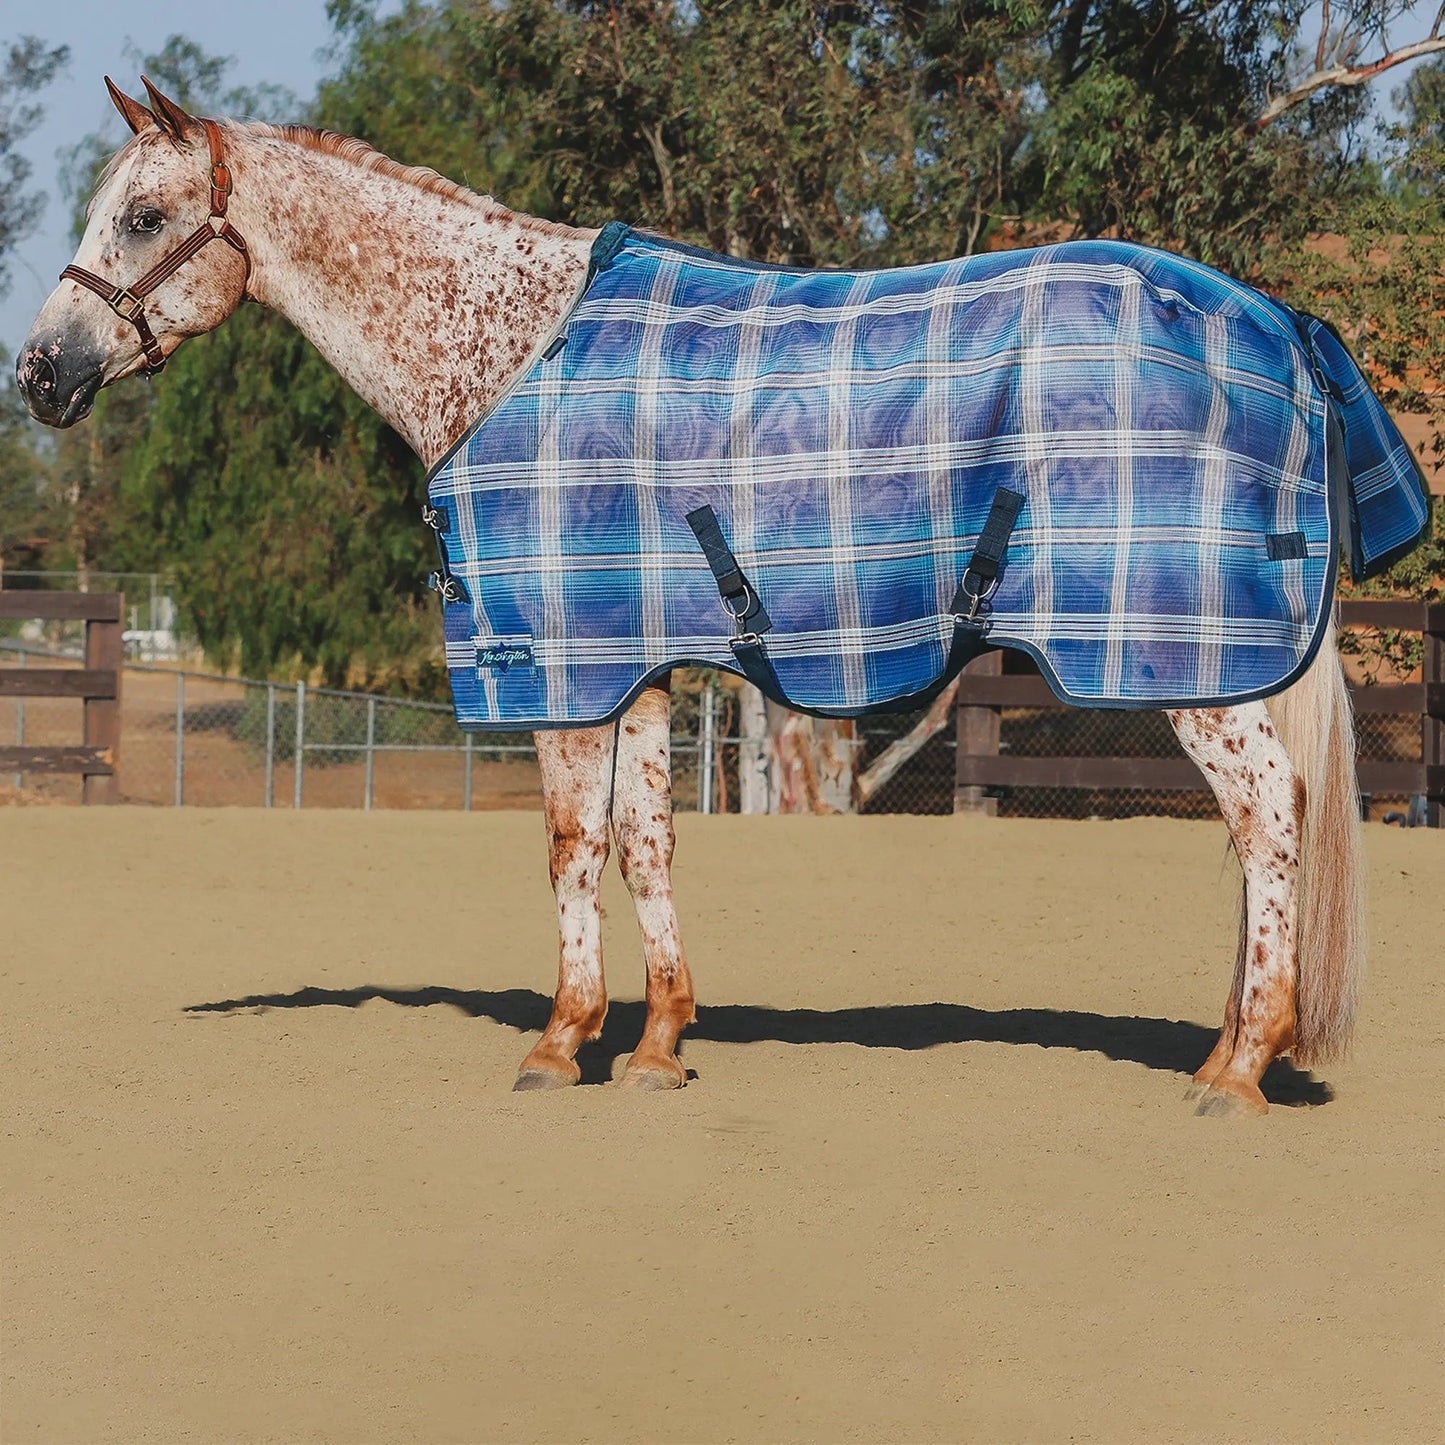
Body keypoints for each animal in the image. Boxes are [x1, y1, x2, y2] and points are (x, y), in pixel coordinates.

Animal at [17, 79, 1371, 1116]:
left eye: (144, 214)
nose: (38, 374)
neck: (504, 350)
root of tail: (1276, 321)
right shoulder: (639, 665)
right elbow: (646, 839)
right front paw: (659, 1043)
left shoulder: (557, 663)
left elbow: (571, 846)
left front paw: (560, 1041)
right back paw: (1223, 1045)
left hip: (1188, 665)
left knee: (1268, 816)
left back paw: (1236, 1068)